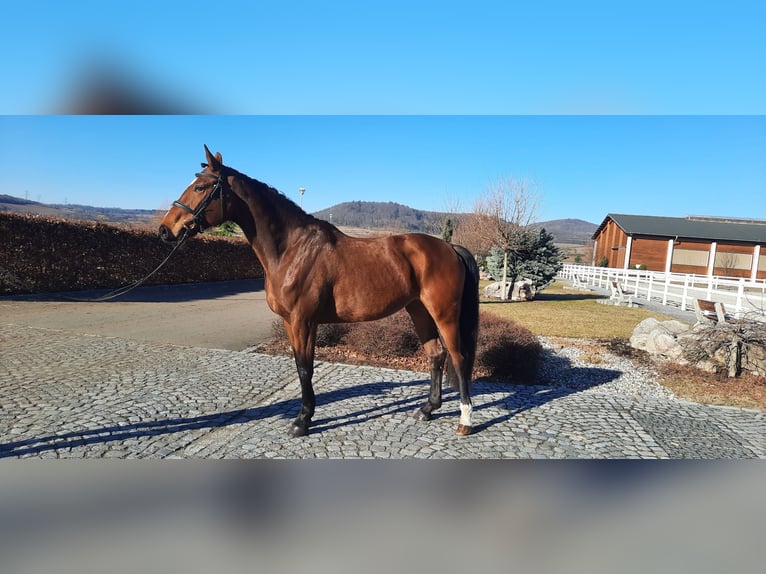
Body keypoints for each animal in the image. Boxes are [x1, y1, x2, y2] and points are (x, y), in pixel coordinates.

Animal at [158, 146, 476, 438]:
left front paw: (302, 421)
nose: (164, 230)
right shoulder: (290, 322)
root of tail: (449, 247)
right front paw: (305, 417)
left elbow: (304, 368)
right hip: (419, 310)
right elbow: (301, 365)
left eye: (200, 187)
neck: (292, 249)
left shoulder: (304, 321)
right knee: (436, 355)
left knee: (458, 358)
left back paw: (465, 421)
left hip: (444, 314)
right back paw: (427, 410)